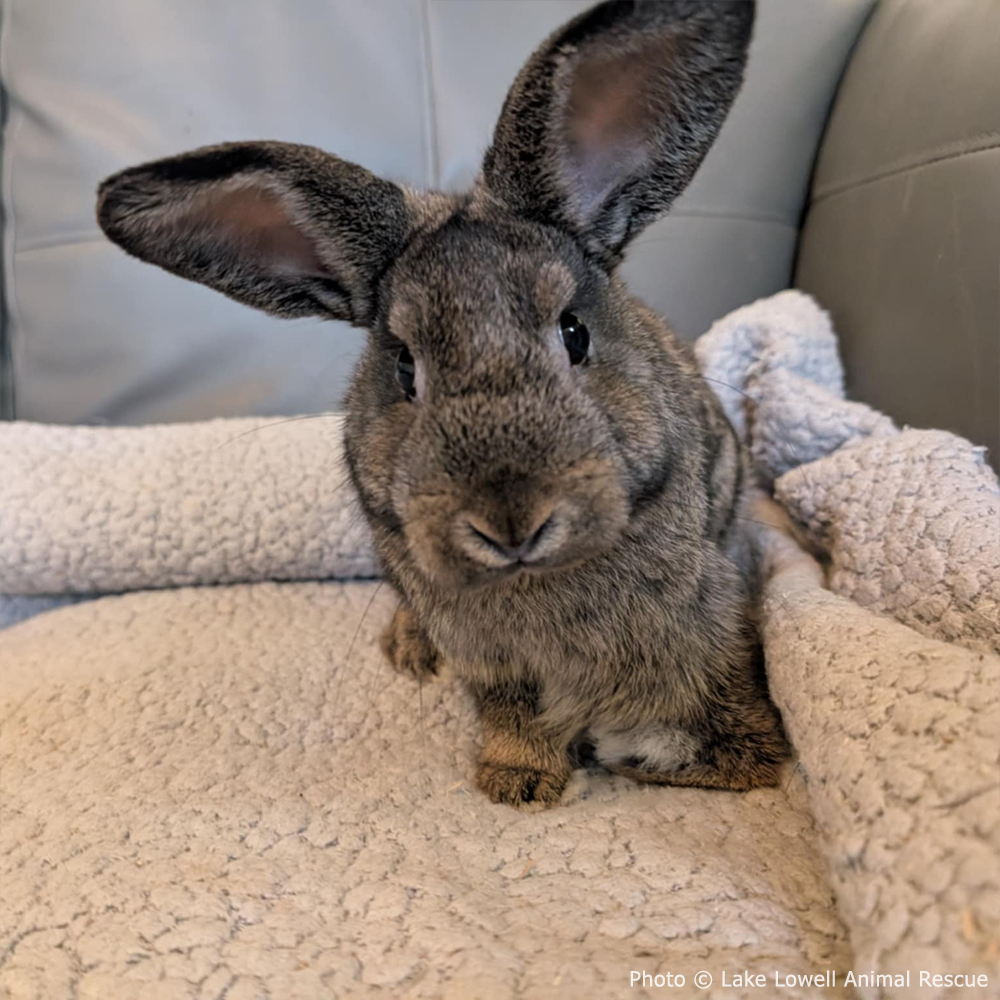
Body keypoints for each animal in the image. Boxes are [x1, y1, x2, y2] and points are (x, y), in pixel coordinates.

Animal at [96, 0, 786, 808]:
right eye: (404, 366)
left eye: (575, 333)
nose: (510, 522)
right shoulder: (493, 664)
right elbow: (513, 714)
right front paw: (518, 783)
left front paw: (719, 761)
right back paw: (409, 649)